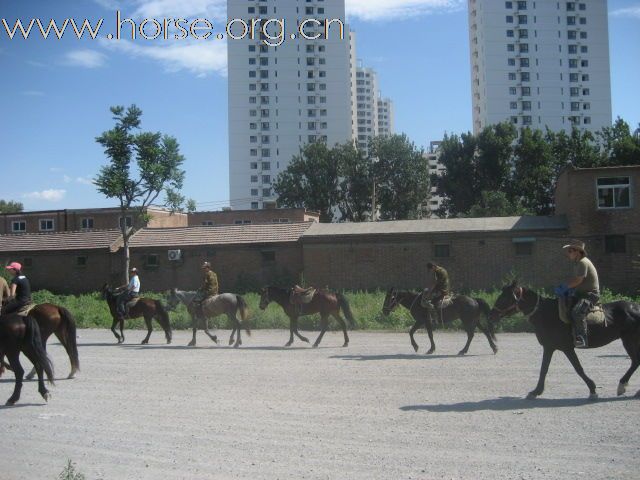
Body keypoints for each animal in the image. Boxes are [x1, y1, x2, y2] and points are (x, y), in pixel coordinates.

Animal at [490, 280, 640, 400]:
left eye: (505, 297)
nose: (492, 314)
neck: (546, 313)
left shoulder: (567, 348)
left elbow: (578, 368)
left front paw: (592, 389)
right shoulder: (549, 347)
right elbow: (544, 369)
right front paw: (536, 391)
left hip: (630, 340)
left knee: (635, 361)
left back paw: (622, 386)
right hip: (629, 341)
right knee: (636, 361)